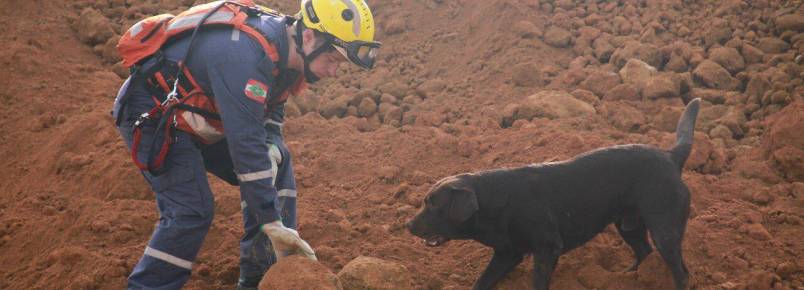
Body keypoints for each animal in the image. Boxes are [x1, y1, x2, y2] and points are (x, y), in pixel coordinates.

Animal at [406, 98, 700, 288]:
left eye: (432, 205)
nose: (407, 225)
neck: (496, 202)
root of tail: (671, 156)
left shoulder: (548, 249)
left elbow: (538, 283)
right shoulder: (507, 253)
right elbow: (481, 282)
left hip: (665, 230)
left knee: (681, 272)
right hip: (629, 225)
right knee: (644, 252)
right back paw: (624, 278)